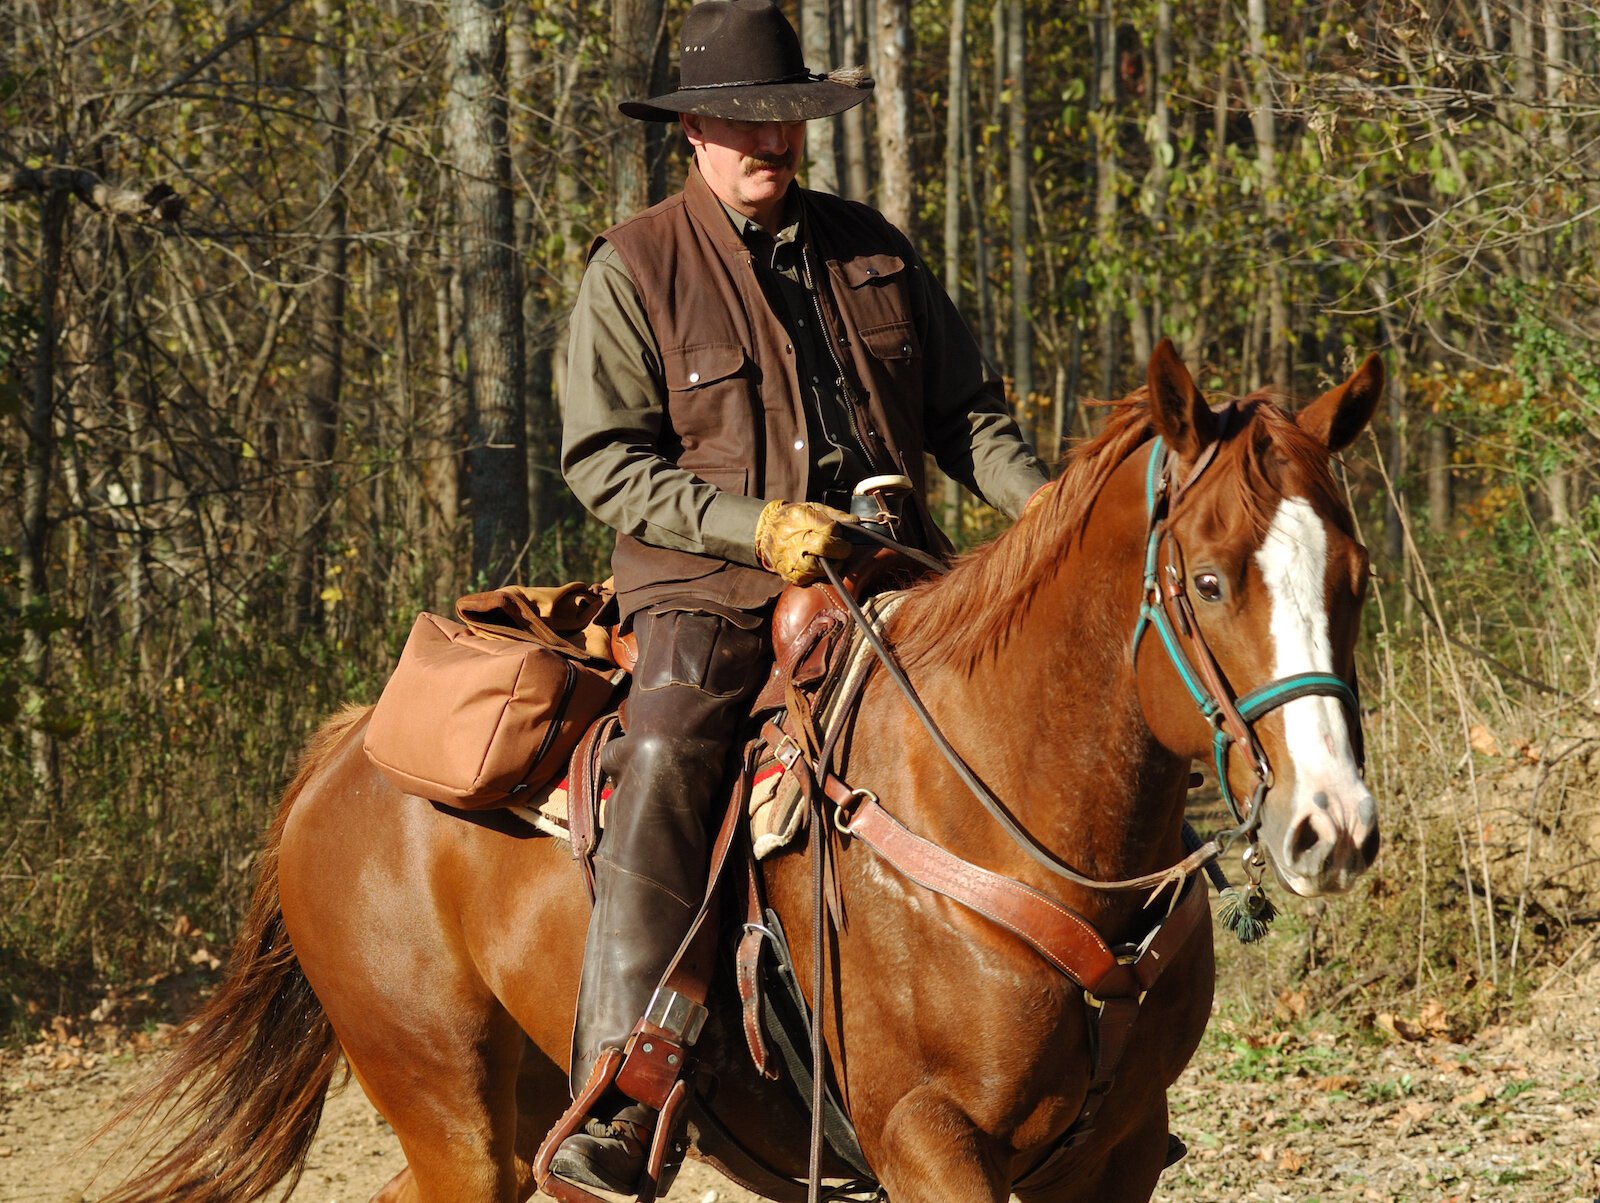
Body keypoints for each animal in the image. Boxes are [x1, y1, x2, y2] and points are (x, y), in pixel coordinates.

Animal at [98, 340, 1383, 1203]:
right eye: (1208, 581)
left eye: (1353, 576)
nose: (1332, 827)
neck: (998, 816)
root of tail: (343, 758)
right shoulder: (927, 1140)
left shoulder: (1114, 1155)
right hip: (444, 1101)